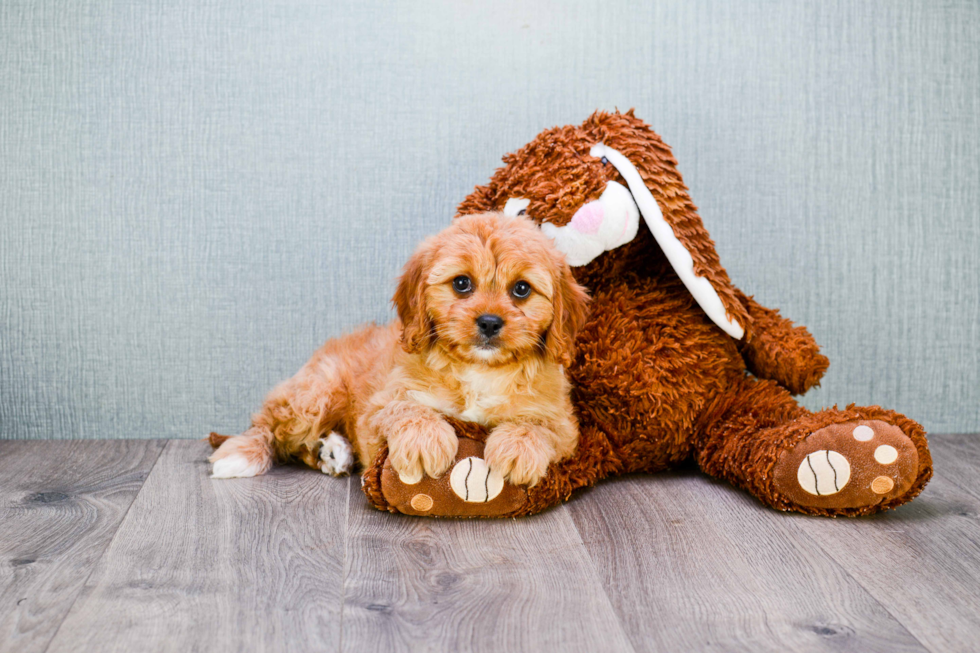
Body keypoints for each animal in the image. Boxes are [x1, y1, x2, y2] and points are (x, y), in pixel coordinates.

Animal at [209, 211, 588, 486]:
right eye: (461, 283)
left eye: (522, 289)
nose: (490, 322)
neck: (480, 369)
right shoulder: (379, 405)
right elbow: (407, 409)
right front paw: (425, 441)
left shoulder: (564, 425)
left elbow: (537, 425)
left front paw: (517, 449)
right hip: (315, 394)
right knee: (270, 426)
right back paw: (252, 452)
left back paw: (332, 453)